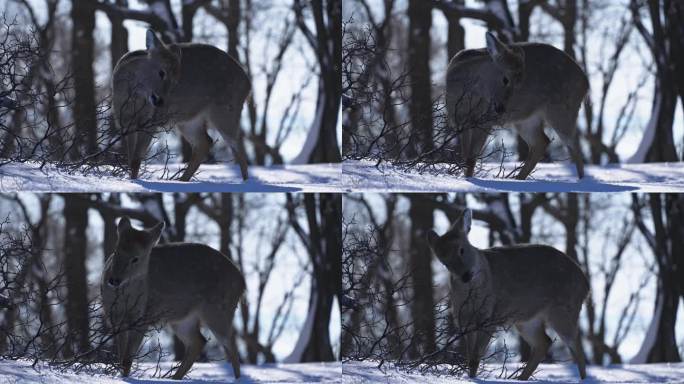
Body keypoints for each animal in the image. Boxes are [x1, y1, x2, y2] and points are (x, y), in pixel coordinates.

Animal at [101, 218, 246, 380]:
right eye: (116, 251)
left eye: (136, 258)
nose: (114, 280)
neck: (124, 300)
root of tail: (242, 282)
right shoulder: (115, 318)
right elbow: (121, 355)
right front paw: (120, 376)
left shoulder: (142, 318)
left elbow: (128, 358)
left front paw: (125, 377)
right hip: (182, 319)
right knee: (199, 341)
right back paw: (175, 377)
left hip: (219, 310)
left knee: (231, 344)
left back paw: (238, 379)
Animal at [112, 28, 251, 182]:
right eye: (161, 72)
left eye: (175, 80)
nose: (160, 101)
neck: (133, 97)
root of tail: (248, 85)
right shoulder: (124, 121)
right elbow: (131, 158)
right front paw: (131, 180)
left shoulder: (149, 122)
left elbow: (137, 158)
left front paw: (134, 181)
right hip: (188, 120)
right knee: (205, 142)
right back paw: (182, 179)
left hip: (226, 111)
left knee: (238, 146)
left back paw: (246, 182)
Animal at [428, 210, 588, 380]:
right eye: (444, 261)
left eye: (461, 249)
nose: (465, 276)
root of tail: (586, 285)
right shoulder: (464, 321)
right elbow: (470, 357)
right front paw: (470, 377)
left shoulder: (489, 318)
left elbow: (476, 356)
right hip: (526, 319)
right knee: (544, 342)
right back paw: (521, 378)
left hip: (563, 309)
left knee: (575, 343)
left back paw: (583, 379)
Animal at [448, 30, 588, 179]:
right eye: (505, 79)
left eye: (518, 84)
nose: (501, 108)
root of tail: (585, 83)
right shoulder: (460, 121)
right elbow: (465, 155)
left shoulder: (484, 122)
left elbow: (471, 157)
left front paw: (468, 178)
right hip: (526, 119)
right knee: (542, 141)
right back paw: (519, 177)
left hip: (562, 110)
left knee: (574, 144)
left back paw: (581, 180)